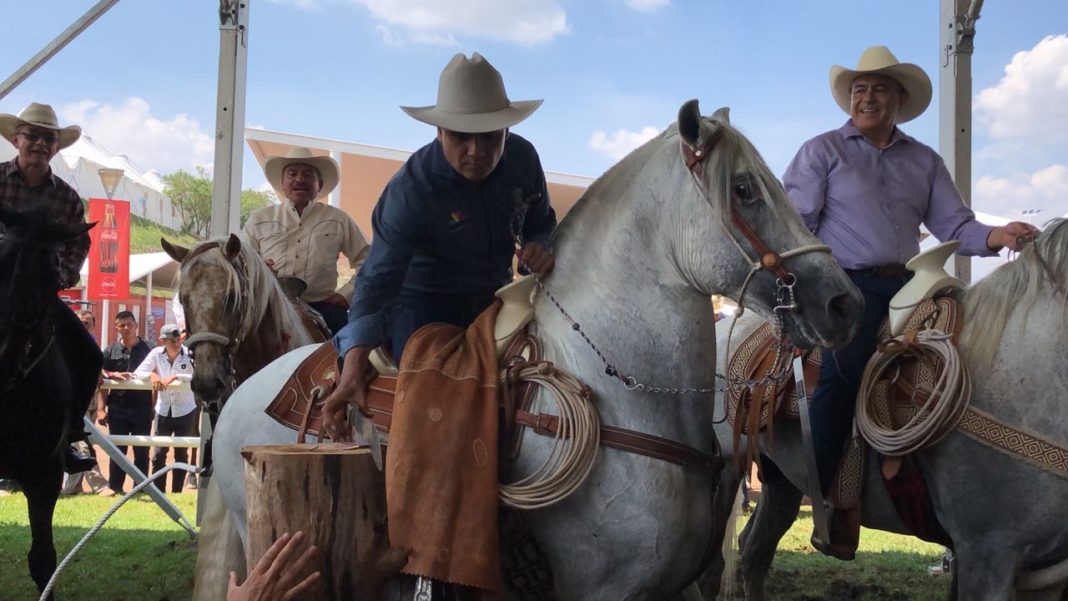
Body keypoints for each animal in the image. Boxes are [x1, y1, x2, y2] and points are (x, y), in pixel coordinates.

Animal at [700, 218, 1068, 601]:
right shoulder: (986, 553)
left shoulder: (1043, 571)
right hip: (723, 472)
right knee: (713, 568)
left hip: (781, 480)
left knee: (753, 553)